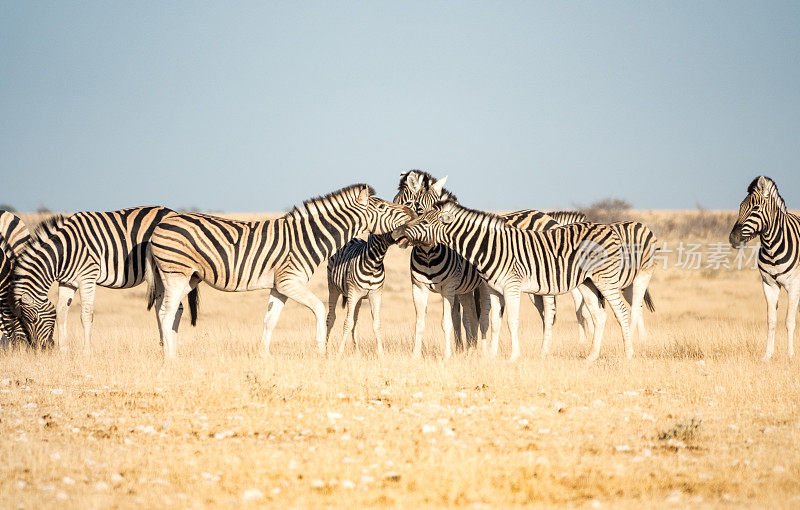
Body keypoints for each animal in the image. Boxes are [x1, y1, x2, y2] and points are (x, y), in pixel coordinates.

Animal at [12, 207, 176, 350]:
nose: (39, 348)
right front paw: (63, 350)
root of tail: (172, 211)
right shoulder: (67, 282)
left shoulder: (87, 277)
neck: (65, 252)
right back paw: (163, 344)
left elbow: (86, 314)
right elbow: (61, 311)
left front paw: (87, 351)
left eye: (33, 320)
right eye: (23, 322)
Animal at [146, 184, 416, 358]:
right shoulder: (290, 282)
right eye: (381, 207)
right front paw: (320, 350)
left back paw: (171, 351)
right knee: (166, 313)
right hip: (175, 274)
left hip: (189, 278)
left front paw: (263, 356)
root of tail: (161, 224)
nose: (412, 212)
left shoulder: (279, 286)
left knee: (168, 312)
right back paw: (170, 358)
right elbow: (319, 309)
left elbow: (270, 320)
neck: (308, 238)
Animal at [390, 199, 636, 362]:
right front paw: (491, 356)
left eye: (423, 221)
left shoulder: (512, 287)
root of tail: (607, 227)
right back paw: (592, 357)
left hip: (606, 280)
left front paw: (513, 357)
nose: (395, 234)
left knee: (622, 312)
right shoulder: (493, 289)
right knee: (599, 315)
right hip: (587, 282)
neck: (489, 246)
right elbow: (494, 322)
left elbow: (511, 321)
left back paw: (629, 354)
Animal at [732, 177, 800, 360]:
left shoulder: (794, 285)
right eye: (740, 207)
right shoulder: (769, 284)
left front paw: (791, 356)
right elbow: (771, 320)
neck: (772, 247)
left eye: (756, 208)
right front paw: (767, 355)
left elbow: (789, 321)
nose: (733, 238)